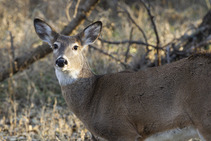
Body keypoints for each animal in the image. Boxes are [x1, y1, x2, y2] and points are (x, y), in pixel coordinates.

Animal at [33, 18, 210, 140]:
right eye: (55, 46)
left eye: (76, 47)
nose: (61, 61)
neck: (92, 99)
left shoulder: (123, 130)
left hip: (204, 118)